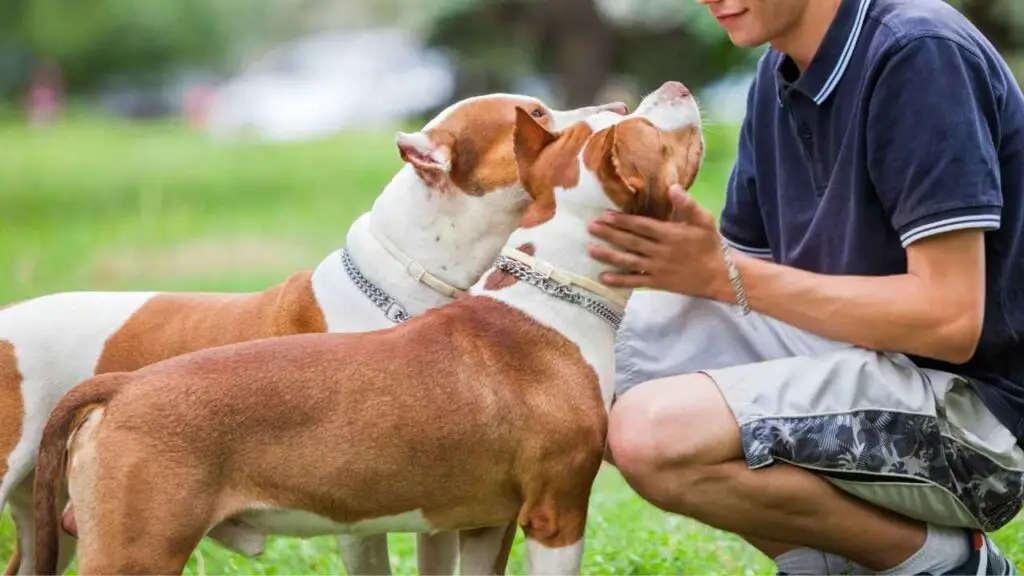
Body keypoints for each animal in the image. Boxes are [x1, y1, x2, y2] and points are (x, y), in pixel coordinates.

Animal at [29, 79, 704, 573]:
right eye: (648, 132)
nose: (664, 88)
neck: (550, 291)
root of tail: (122, 388)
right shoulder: (556, 513)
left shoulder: (483, 521)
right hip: (135, 551)